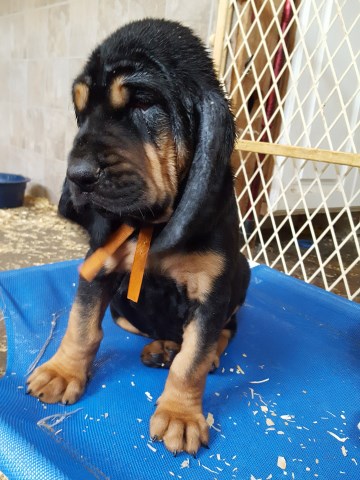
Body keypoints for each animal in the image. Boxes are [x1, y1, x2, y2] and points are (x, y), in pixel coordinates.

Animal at [26, 17, 249, 454]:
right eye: (80, 112)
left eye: (143, 104)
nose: (76, 177)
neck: (152, 224)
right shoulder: (98, 266)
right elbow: (81, 326)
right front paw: (63, 372)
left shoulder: (211, 292)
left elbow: (193, 360)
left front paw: (181, 415)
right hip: (121, 310)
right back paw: (160, 347)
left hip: (241, 277)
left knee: (224, 333)